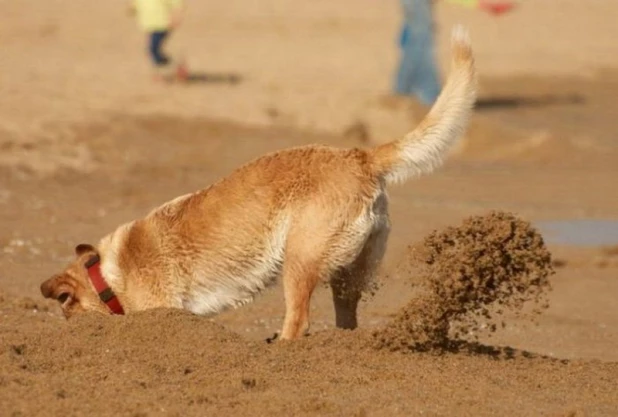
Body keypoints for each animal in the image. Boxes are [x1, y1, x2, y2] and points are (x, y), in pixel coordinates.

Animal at [41, 25, 476, 338]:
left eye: (67, 314)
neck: (109, 275)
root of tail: (359, 157)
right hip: (349, 268)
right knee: (346, 319)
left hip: (300, 261)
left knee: (298, 321)